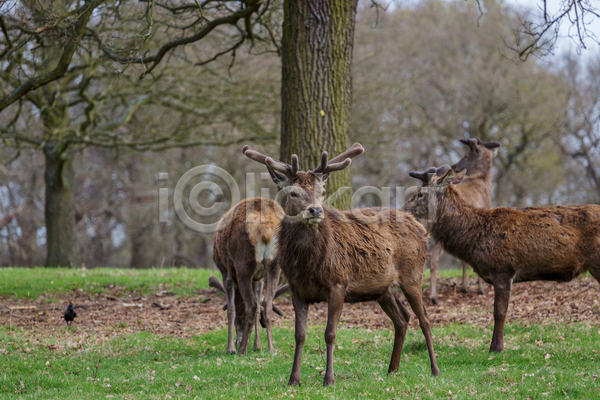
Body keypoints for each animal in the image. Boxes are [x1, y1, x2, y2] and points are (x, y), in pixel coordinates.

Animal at [212, 197, 284, 354]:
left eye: (240, 319)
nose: (238, 339)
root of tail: (265, 227)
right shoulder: (259, 278)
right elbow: (258, 309)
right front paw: (258, 345)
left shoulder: (226, 272)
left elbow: (231, 309)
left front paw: (230, 348)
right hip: (275, 265)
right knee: (267, 304)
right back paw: (270, 348)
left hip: (243, 264)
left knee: (250, 305)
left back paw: (241, 350)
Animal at [241, 143, 438, 384]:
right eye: (293, 193)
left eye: (322, 192)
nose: (315, 210)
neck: (308, 265)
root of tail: (421, 228)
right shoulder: (297, 289)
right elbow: (299, 334)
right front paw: (294, 379)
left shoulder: (338, 283)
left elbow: (330, 333)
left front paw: (329, 379)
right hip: (383, 289)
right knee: (402, 319)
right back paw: (392, 369)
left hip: (413, 274)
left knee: (425, 319)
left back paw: (434, 369)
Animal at [404, 166, 600, 354]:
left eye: (420, 193)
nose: (403, 209)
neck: (475, 239)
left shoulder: (503, 269)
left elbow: (499, 312)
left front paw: (496, 348)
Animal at [426, 138, 502, 304]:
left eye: (466, 155)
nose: (455, 166)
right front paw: (480, 289)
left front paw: (464, 287)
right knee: (433, 256)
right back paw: (433, 296)